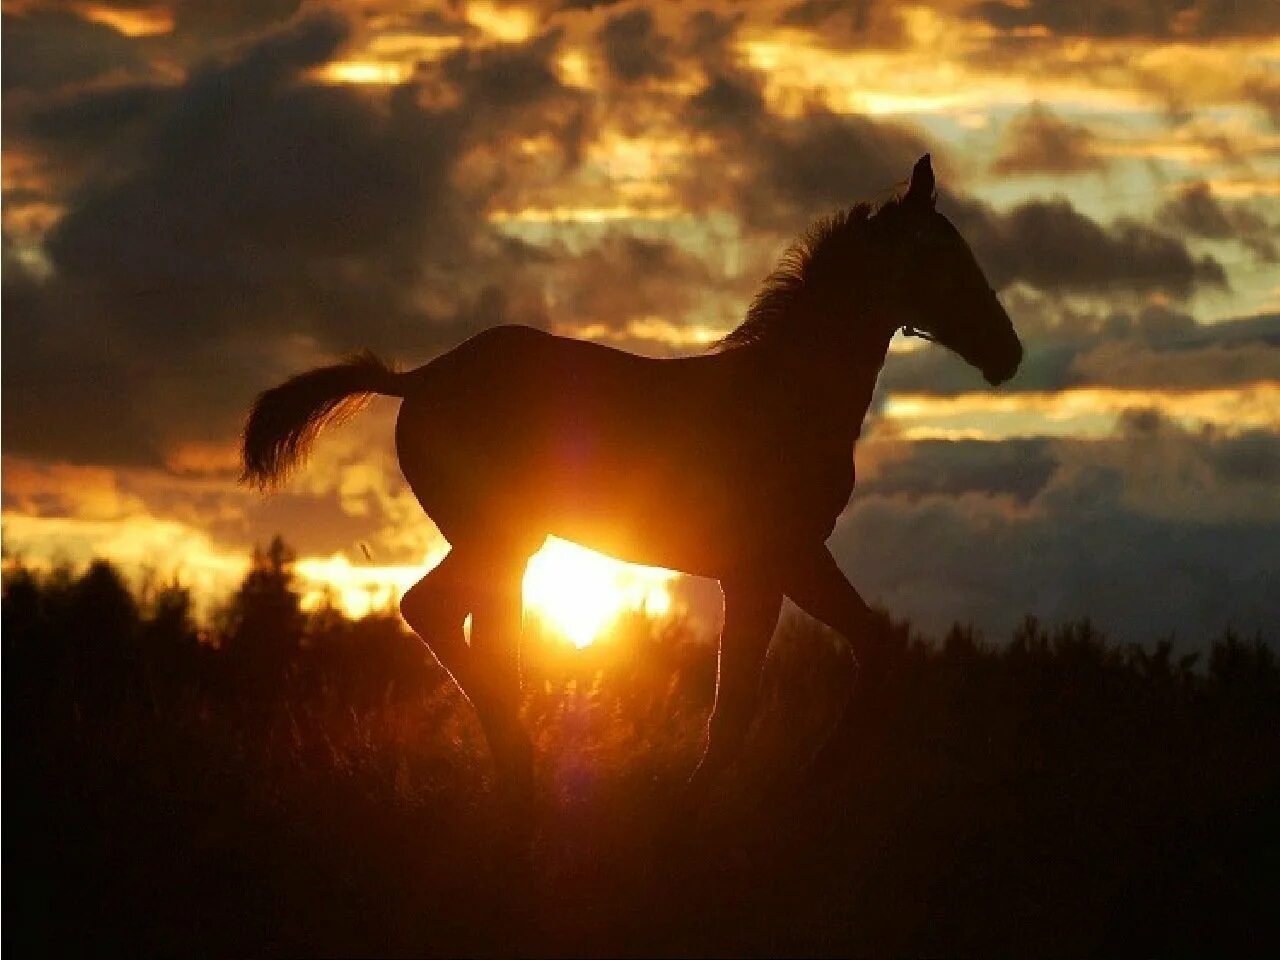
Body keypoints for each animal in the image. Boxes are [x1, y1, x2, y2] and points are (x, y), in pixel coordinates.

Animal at [238, 156, 1018, 803]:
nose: (1008, 352)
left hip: (506, 545)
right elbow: (743, 700)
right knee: (435, 612)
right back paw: (522, 763)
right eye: (945, 257)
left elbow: (861, 650)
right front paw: (723, 800)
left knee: (476, 627)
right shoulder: (773, 563)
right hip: (501, 537)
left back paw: (519, 771)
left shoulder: (780, 564)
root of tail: (421, 377)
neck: (785, 396)